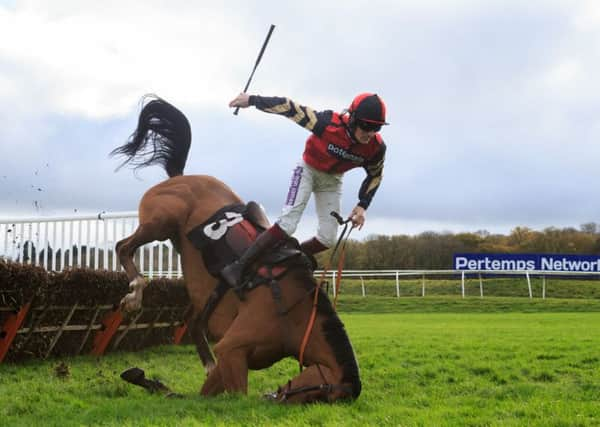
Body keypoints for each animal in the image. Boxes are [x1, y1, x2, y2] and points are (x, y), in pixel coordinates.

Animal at [109, 95, 358, 402]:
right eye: (319, 397)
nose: (275, 396)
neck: (293, 311)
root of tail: (180, 176)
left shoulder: (232, 353)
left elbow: (202, 392)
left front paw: (149, 381)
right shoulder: (233, 349)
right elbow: (230, 393)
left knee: (192, 320)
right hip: (161, 222)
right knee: (123, 247)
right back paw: (134, 293)